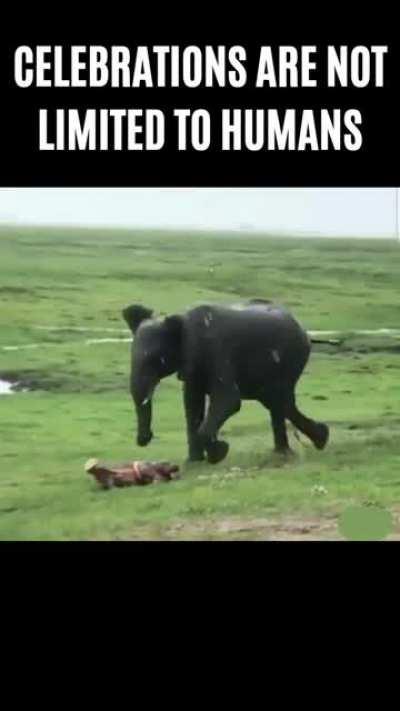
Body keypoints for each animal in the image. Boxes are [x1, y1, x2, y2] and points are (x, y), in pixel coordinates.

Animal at [122, 299, 329, 464]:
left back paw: (308, 444)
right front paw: (194, 462)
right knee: (277, 402)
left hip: (291, 358)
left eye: (155, 360)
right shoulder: (192, 365)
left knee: (279, 400)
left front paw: (219, 453)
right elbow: (191, 404)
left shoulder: (216, 351)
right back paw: (310, 442)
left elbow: (228, 400)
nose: (144, 439)